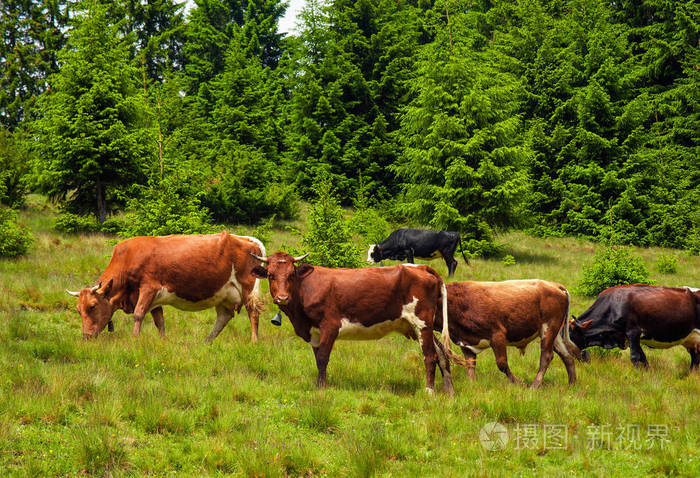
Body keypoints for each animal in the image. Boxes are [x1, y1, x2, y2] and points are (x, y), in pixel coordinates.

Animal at [66, 232, 266, 342]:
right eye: (78, 310)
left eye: (93, 306)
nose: (86, 336)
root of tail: (246, 238)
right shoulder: (155, 299)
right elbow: (159, 321)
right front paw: (163, 341)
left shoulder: (148, 288)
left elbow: (139, 314)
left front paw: (135, 339)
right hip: (223, 294)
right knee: (224, 317)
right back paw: (206, 341)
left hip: (248, 289)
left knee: (253, 313)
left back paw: (254, 340)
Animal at [249, 252, 462, 394]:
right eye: (270, 275)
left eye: (291, 275)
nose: (282, 297)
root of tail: (420, 267)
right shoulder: (314, 331)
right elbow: (318, 358)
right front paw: (320, 384)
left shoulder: (330, 325)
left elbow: (323, 358)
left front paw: (321, 388)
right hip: (416, 326)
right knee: (442, 353)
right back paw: (449, 392)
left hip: (421, 322)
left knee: (430, 356)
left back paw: (429, 391)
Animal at [432, 280, 580, 388]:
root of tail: (555, 285)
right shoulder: (466, 344)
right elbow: (470, 365)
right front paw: (471, 385)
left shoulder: (497, 335)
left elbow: (502, 364)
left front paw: (518, 382)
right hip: (554, 334)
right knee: (567, 355)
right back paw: (572, 384)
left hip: (548, 329)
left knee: (547, 356)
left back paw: (535, 385)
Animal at [568, 286, 700, 372]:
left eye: (569, 335)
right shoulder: (630, 337)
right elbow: (643, 357)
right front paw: (647, 373)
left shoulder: (633, 332)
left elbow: (635, 357)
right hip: (692, 341)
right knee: (695, 359)